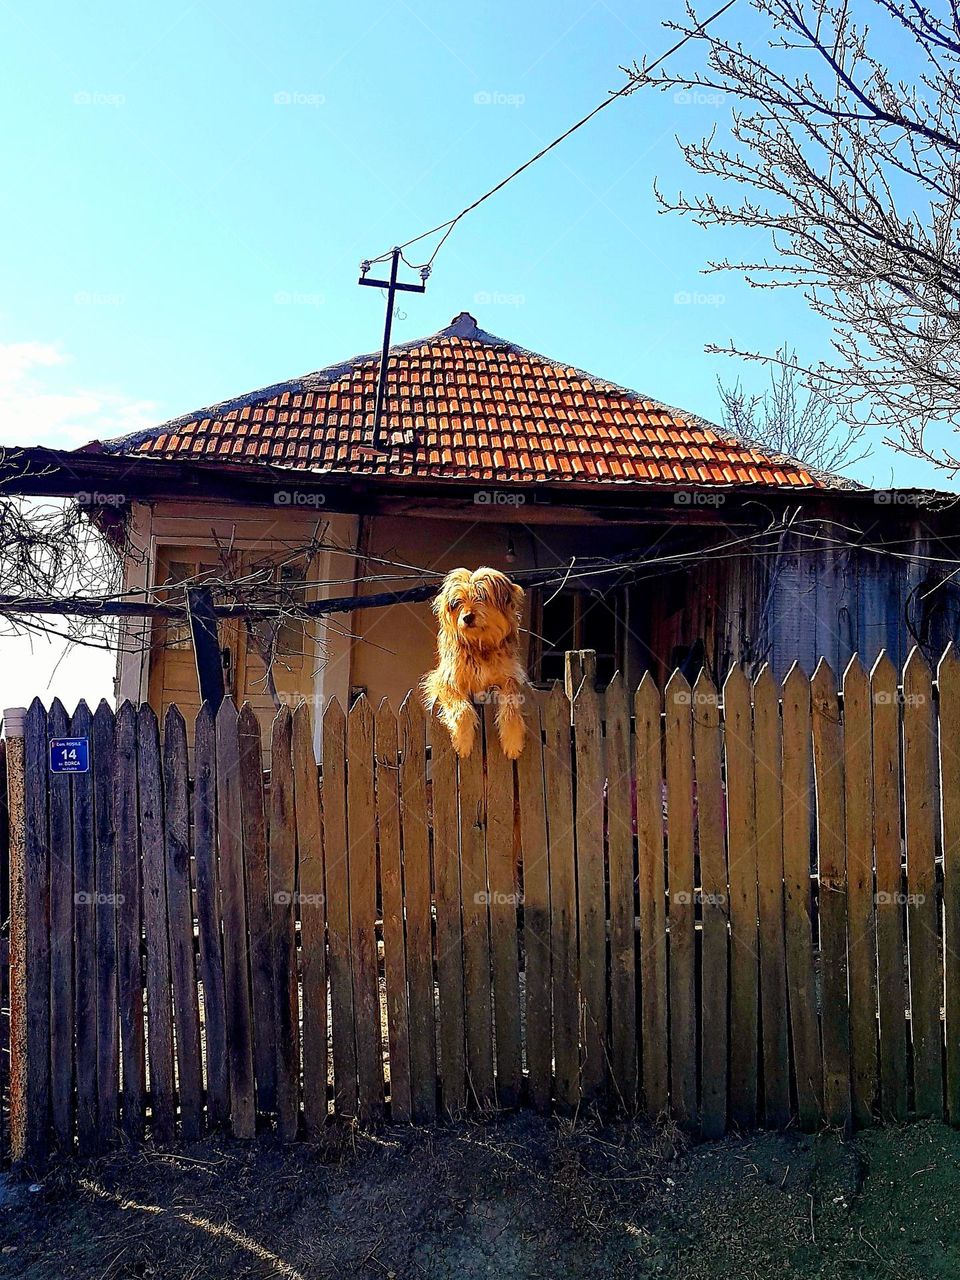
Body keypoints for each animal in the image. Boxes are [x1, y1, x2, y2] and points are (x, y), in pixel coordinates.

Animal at [424, 563, 529, 757]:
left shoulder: (510, 677)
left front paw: (512, 740)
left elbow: (511, 706)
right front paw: (463, 741)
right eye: (457, 602)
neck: (479, 645)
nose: (467, 617)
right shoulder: (445, 681)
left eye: (482, 596)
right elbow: (462, 709)